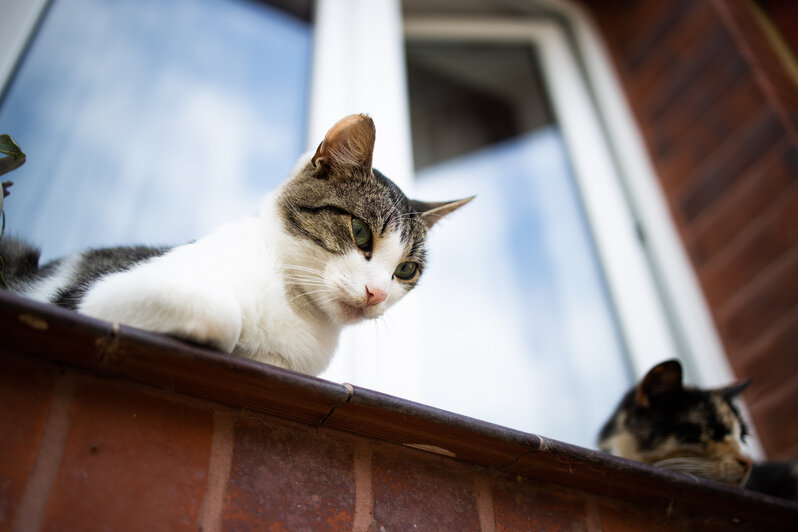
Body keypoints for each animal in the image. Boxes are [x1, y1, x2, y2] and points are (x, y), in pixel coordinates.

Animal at [0, 115, 472, 376]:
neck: (298, 312)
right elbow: (222, 315)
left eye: (406, 270)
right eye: (359, 232)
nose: (376, 293)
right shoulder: (98, 295)